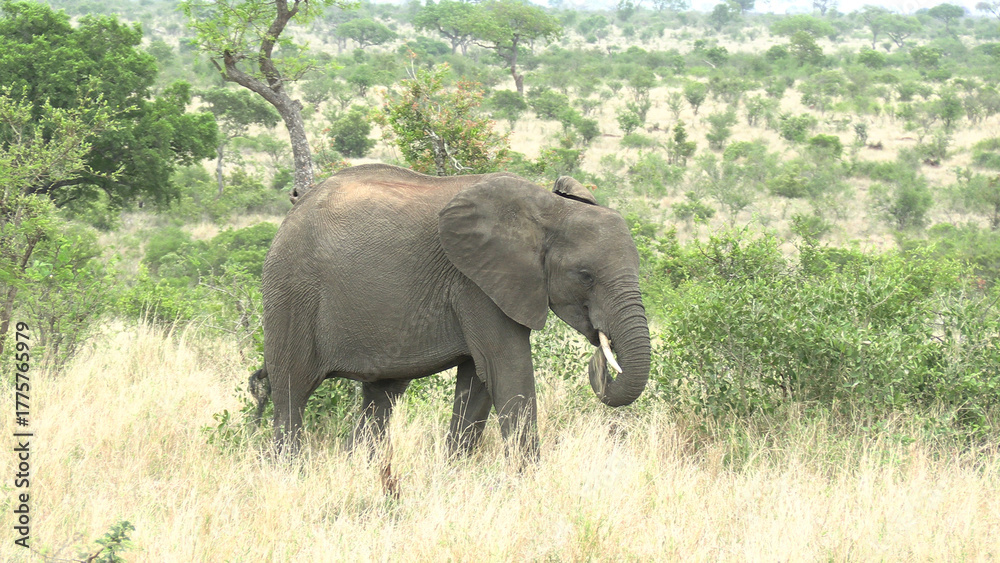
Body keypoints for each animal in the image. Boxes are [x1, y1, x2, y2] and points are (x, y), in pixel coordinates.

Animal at [260, 163, 650, 457]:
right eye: (585, 276)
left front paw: (454, 472)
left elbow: (479, 380)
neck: (549, 211)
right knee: (292, 393)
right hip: (291, 292)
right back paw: (290, 472)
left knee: (380, 398)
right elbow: (506, 368)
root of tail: (294, 207)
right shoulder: (475, 282)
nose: (599, 362)